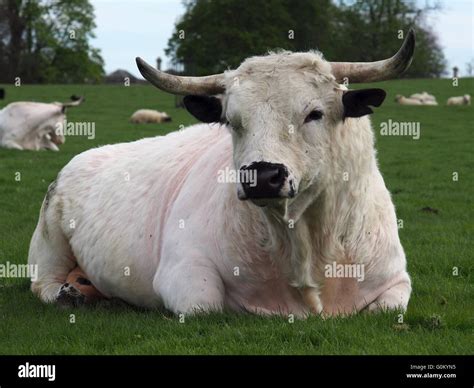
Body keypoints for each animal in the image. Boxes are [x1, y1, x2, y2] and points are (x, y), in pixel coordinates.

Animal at [27, 29, 416, 316]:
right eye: (232, 120)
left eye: (314, 113)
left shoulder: (396, 281)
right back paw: (68, 294)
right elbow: (205, 305)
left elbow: (386, 308)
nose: (262, 176)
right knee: (43, 283)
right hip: (48, 243)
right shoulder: (182, 271)